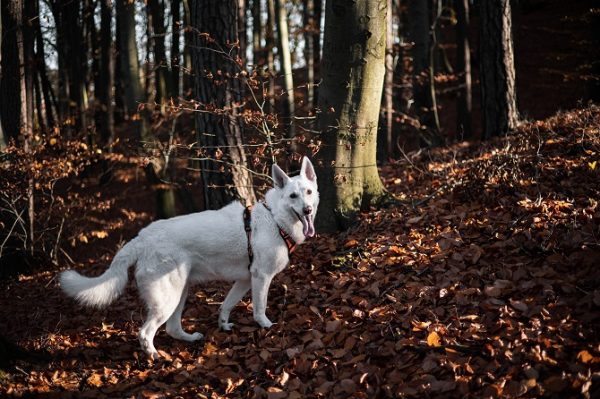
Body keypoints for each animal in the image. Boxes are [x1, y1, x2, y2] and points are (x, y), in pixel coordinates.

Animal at [60, 158, 318, 360]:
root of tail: (143, 237)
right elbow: (260, 307)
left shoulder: (245, 280)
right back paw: (154, 355)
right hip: (168, 298)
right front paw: (266, 325)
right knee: (145, 332)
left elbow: (226, 305)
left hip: (180, 292)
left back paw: (189, 339)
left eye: (308, 192)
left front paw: (223, 324)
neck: (275, 218)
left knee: (172, 328)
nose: (307, 210)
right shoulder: (261, 278)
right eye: (292, 196)